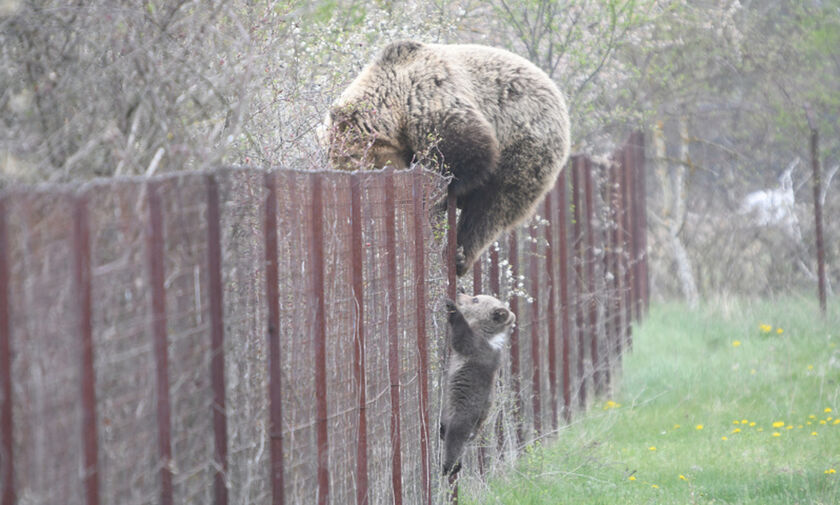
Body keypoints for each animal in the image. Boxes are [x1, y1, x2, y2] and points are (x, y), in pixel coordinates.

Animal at [326, 40, 572, 274]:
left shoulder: (431, 101)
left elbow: (466, 153)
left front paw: (440, 193)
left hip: (526, 142)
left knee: (492, 205)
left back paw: (460, 255)